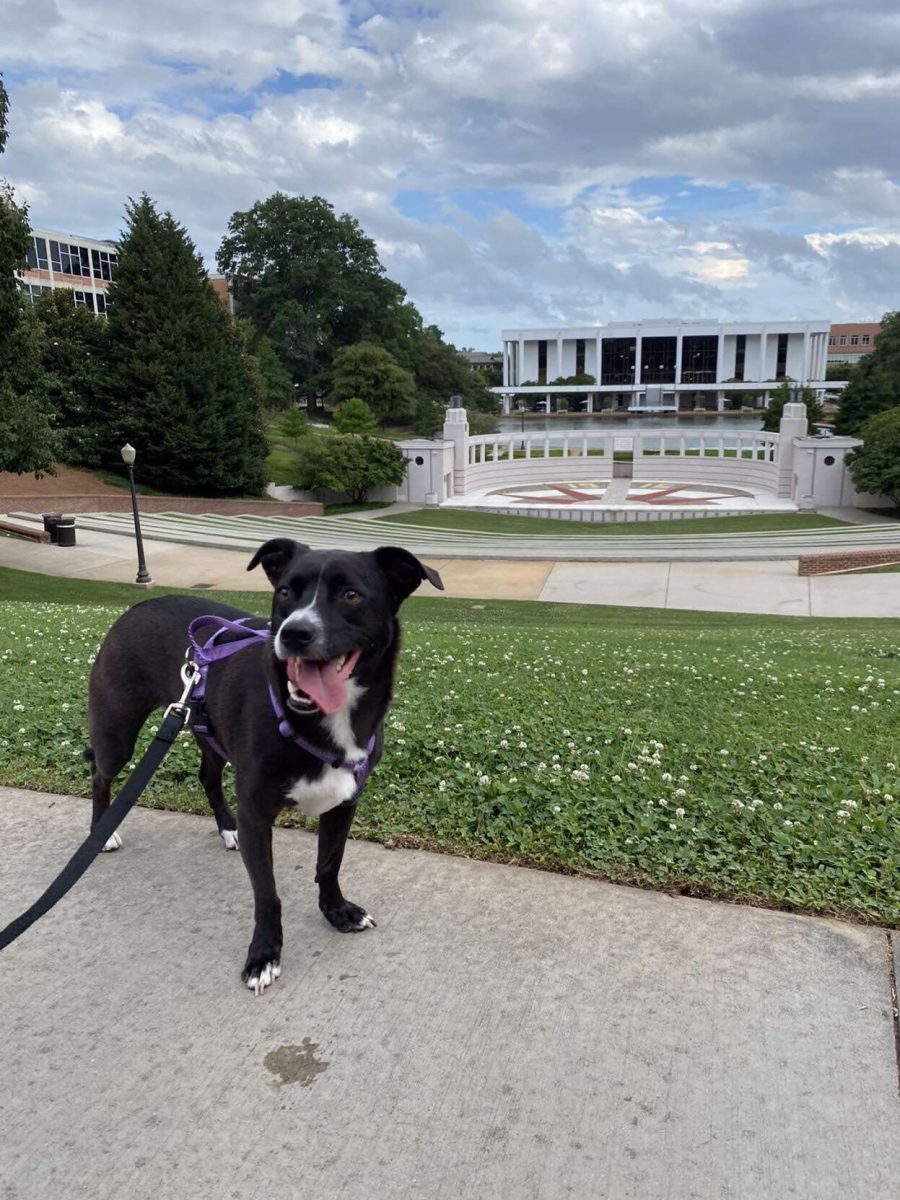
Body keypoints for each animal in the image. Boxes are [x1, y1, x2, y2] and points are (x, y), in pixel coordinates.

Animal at [88, 542, 444, 993]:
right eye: (285, 592)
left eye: (351, 595)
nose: (294, 633)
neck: (317, 720)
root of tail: (137, 606)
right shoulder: (258, 813)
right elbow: (267, 893)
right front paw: (264, 955)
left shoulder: (343, 803)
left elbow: (329, 864)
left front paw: (337, 911)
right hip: (118, 731)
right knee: (101, 774)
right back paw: (102, 831)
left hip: (210, 729)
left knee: (208, 777)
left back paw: (227, 828)